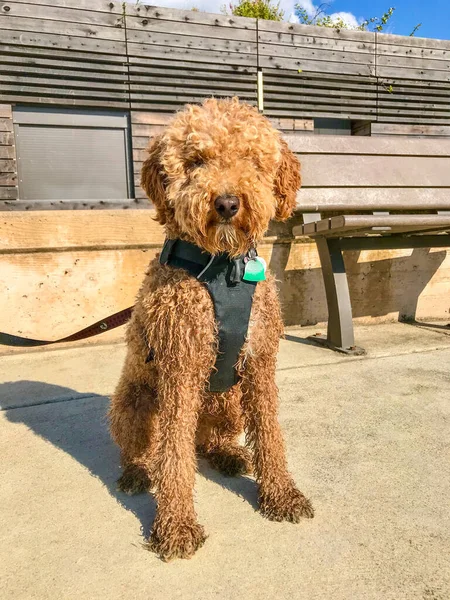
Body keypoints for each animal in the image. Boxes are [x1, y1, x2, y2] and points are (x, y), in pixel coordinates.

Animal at [108, 96, 312, 560]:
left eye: (252, 160)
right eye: (196, 160)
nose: (227, 203)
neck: (222, 269)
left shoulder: (260, 363)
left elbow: (270, 435)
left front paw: (281, 495)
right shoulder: (180, 370)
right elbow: (174, 458)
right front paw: (177, 525)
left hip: (229, 399)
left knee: (207, 442)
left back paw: (228, 454)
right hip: (134, 402)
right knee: (145, 449)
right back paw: (136, 472)